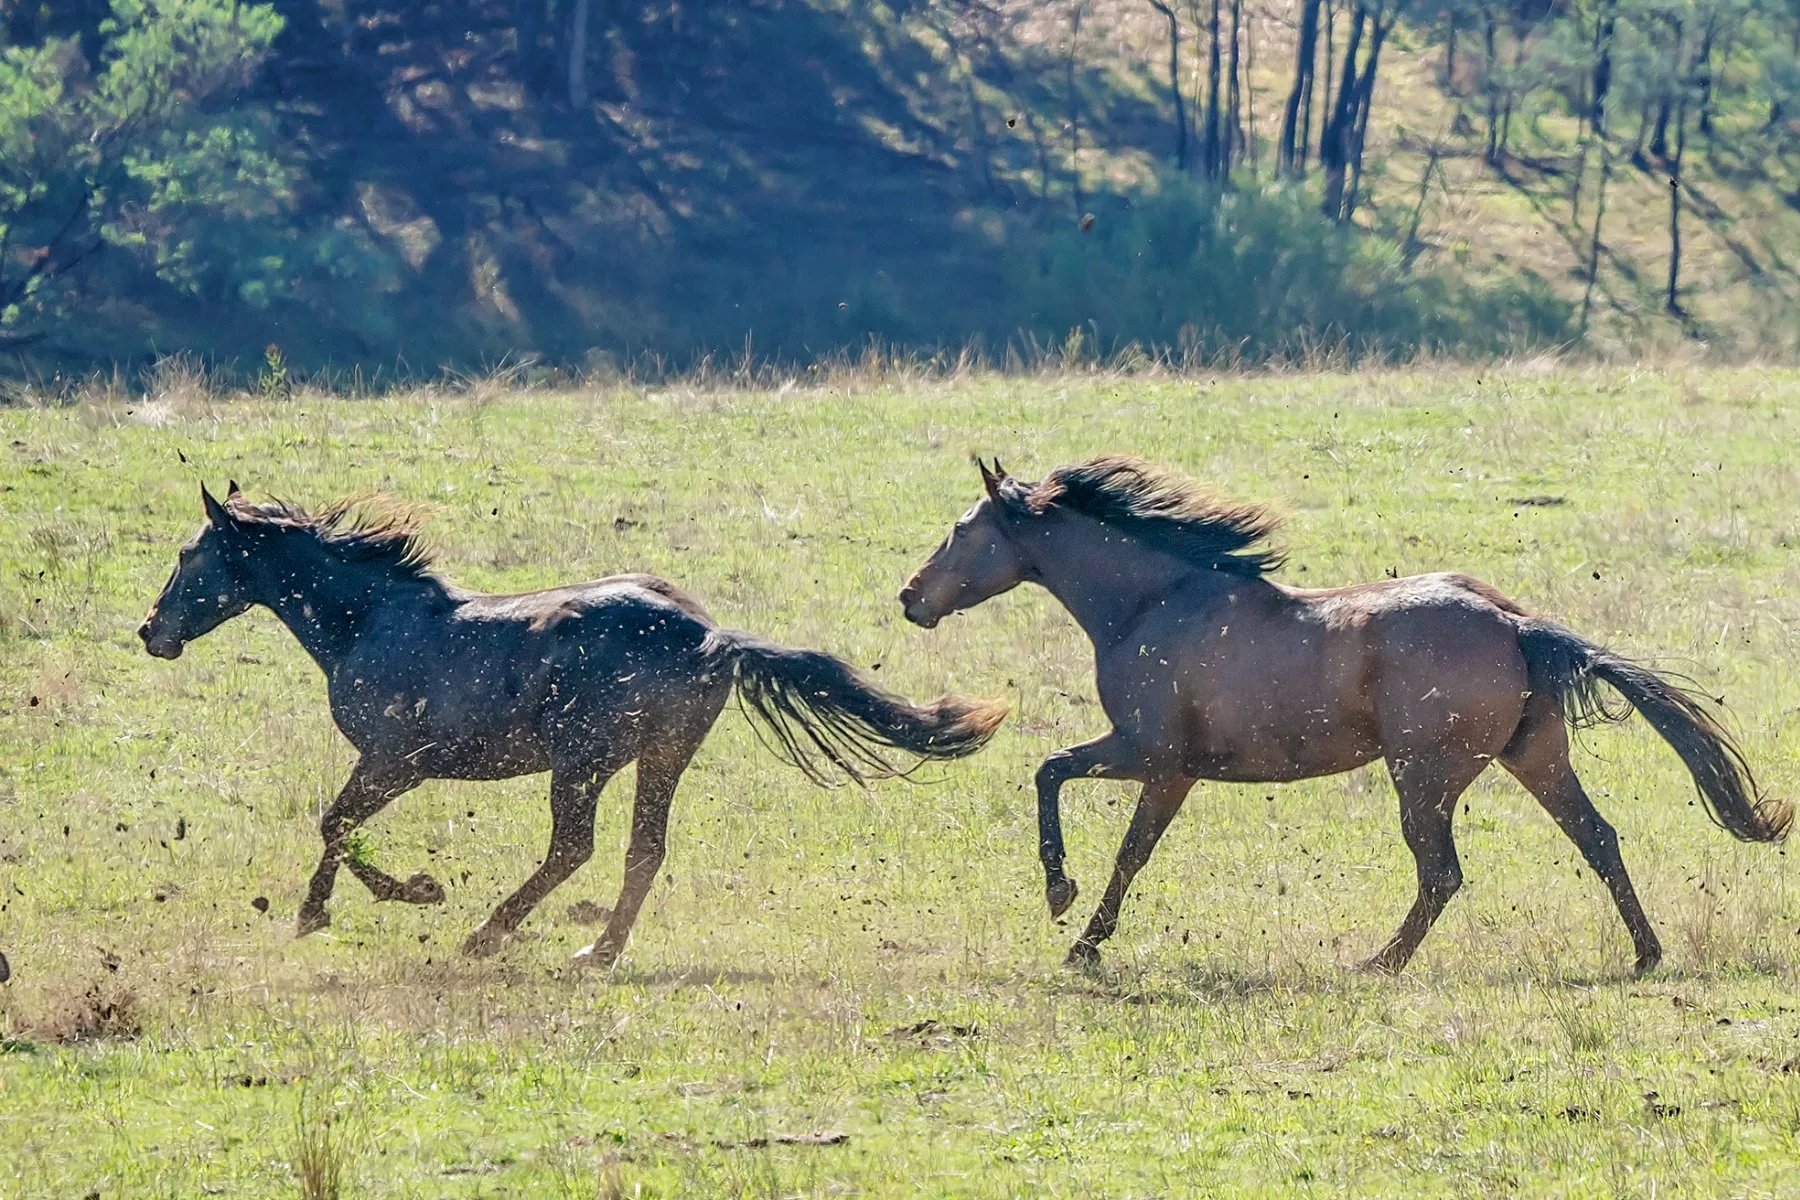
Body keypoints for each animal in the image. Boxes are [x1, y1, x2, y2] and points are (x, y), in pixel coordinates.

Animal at [140, 484, 1007, 966]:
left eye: (187, 555)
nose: (151, 631)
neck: (369, 620)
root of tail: (709, 635)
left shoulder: (396, 759)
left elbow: (336, 824)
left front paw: (391, 897)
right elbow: (337, 826)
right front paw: (325, 910)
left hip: (581, 761)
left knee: (573, 848)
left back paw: (488, 933)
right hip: (662, 757)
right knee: (642, 851)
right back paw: (599, 951)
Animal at [898, 456, 1790, 975]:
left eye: (960, 530)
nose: (911, 598)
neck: (1152, 601)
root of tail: (1516, 623)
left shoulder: (1149, 753)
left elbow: (1062, 787)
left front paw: (1065, 908)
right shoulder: (1171, 771)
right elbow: (1123, 842)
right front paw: (1084, 936)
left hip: (1424, 776)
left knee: (1442, 872)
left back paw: (1378, 963)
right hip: (1533, 757)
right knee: (1598, 838)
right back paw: (1644, 955)